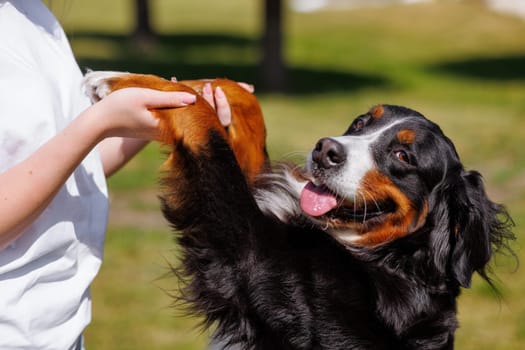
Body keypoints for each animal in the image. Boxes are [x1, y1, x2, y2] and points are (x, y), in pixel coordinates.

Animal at [84, 72, 512, 348]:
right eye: (359, 123)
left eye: (403, 156)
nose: (325, 149)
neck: (390, 261)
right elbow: (243, 110)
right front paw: (187, 83)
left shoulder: (246, 247)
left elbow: (203, 123)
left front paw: (115, 84)